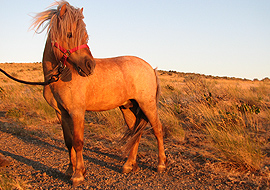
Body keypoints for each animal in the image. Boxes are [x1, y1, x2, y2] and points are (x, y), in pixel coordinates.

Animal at [31, 1, 167, 186]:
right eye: (69, 34)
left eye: (85, 36)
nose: (90, 66)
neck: (61, 77)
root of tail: (150, 68)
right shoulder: (61, 113)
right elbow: (68, 142)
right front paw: (70, 170)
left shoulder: (77, 112)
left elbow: (78, 142)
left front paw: (78, 174)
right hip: (128, 108)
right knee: (135, 134)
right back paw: (128, 165)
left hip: (148, 105)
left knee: (157, 130)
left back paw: (160, 164)